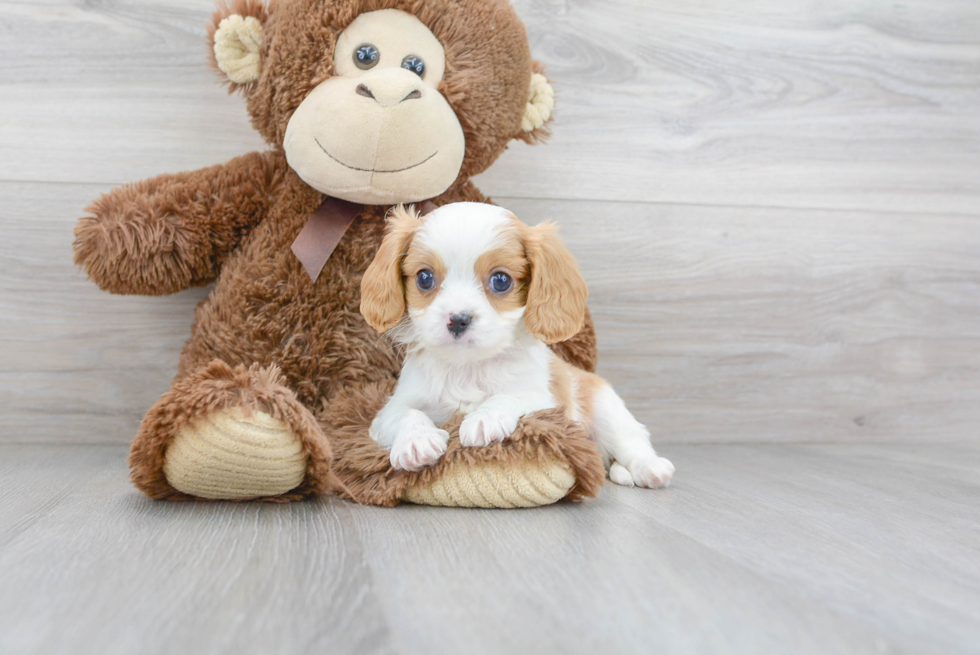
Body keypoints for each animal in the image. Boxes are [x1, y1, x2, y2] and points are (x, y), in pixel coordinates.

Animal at [360, 202, 672, 490]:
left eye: (500, 280)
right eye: (425, 278)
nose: (458, 319)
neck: (468, 366)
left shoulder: (545, 403)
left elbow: (509, 396)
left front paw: (485, 418)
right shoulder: (390, 410)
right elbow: (407, 413)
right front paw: (416, 440)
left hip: (606, 409)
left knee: (633, 443)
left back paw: (651, 468)